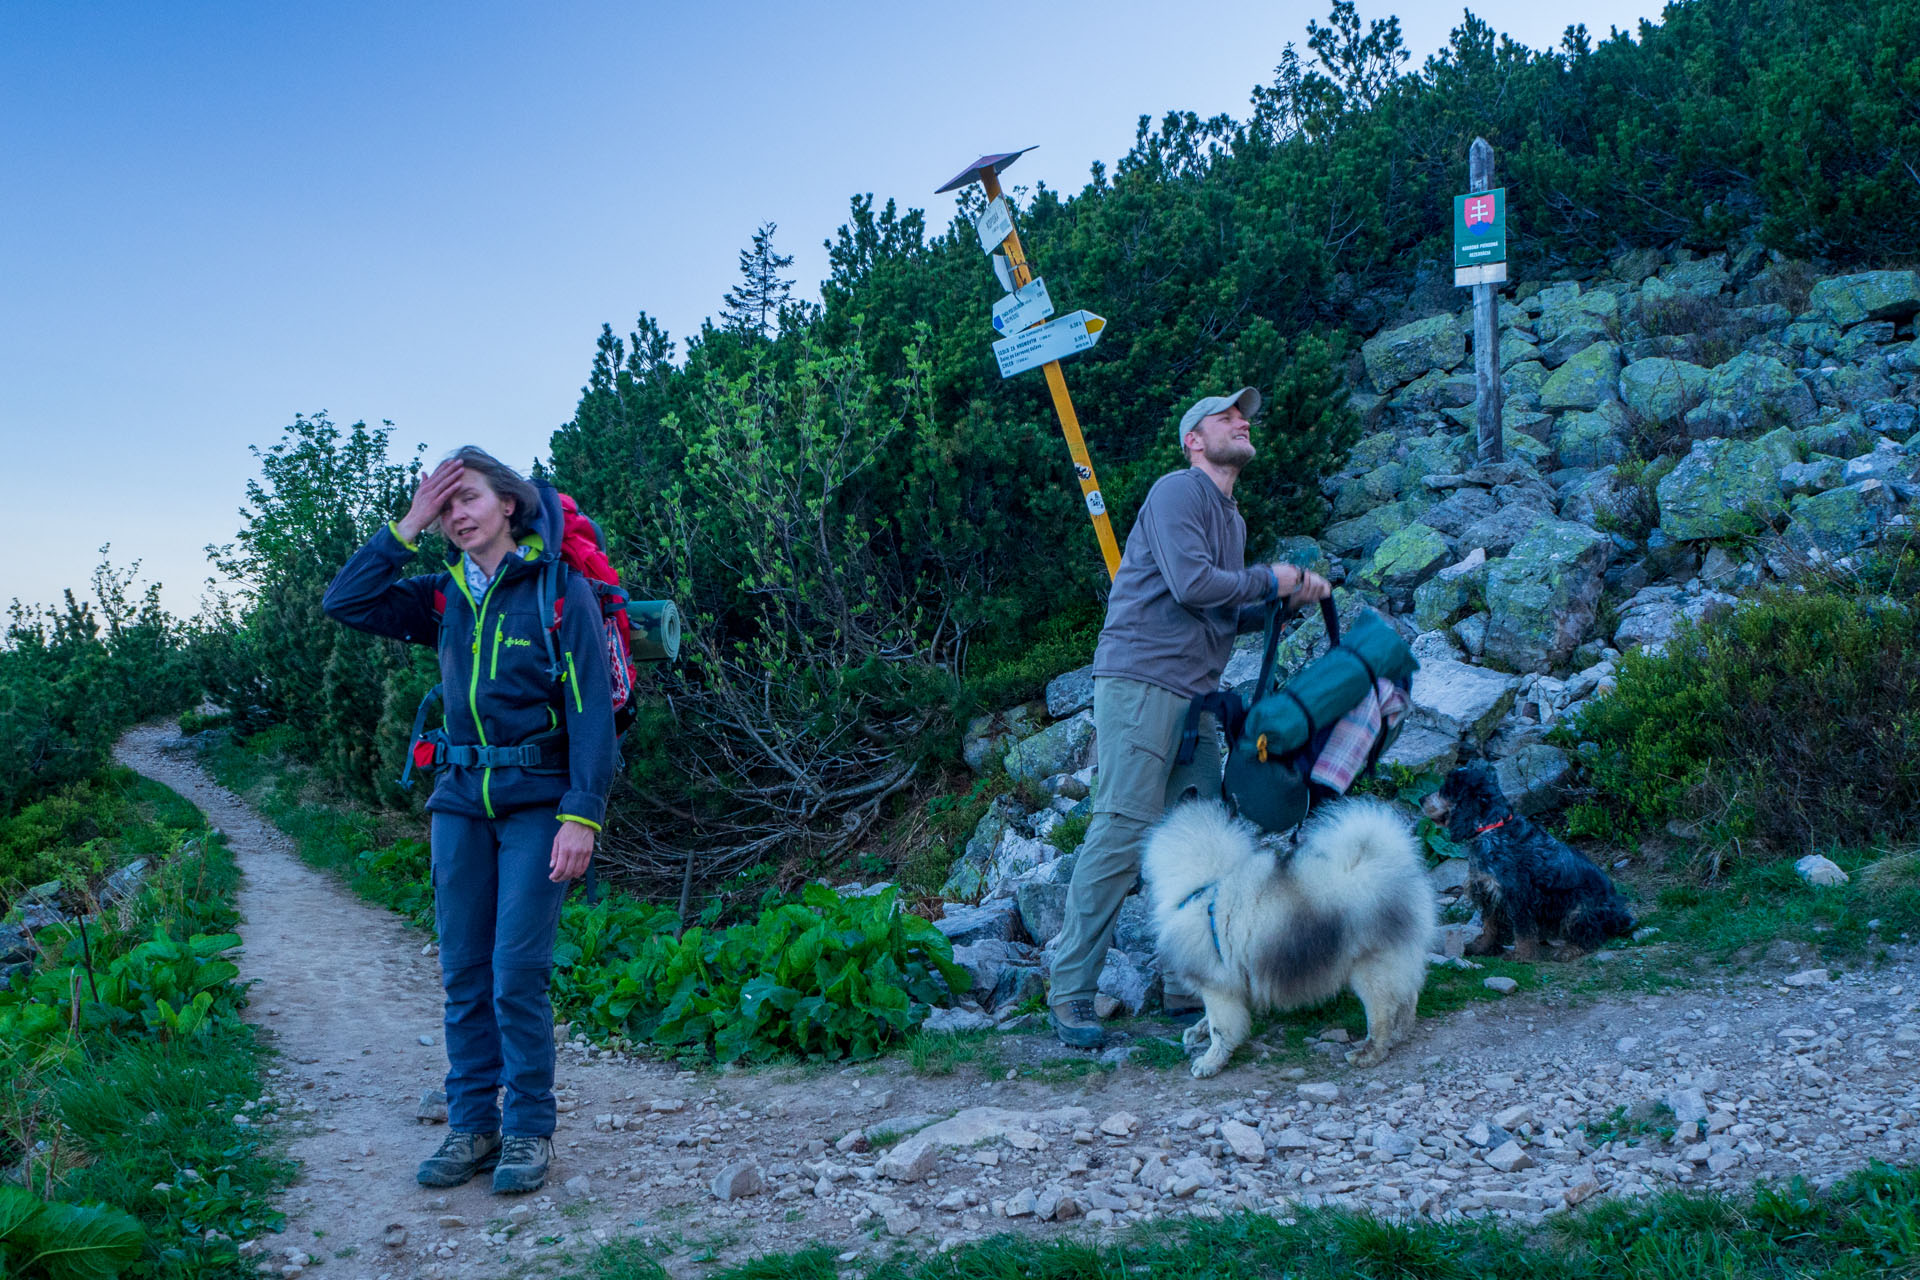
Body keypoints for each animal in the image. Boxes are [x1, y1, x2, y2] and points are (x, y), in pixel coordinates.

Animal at [1136, 802, 1428, 1082]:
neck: (1204, 886)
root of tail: (1389, 863)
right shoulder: (1227, 982)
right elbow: (1210, 1018)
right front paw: (1198, 1031)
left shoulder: (1216, 984)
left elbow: (1221, 1028)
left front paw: (1209, 1062)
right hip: (1395, 961)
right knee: (1407, 997)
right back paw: (1400, 1034)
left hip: (1370, 969)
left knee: (1382, 1013)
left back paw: (1369, 1053)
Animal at [1420, 759, 1628, 959]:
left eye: (1446, 788)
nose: (1421, 799)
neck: (1493, 829)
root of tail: (1622, 915)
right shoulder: (1488, 892)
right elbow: (1489, 925)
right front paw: (1482, 947)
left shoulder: (1517, 895)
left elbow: (1522, 931)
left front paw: (1521, 955)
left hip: (1579, 908)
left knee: (1592, 936)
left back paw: (1568, 950)